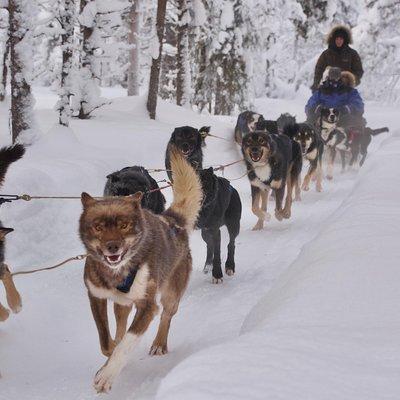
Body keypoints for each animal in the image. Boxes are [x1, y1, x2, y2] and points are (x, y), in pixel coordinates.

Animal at [80, 147, 203, 394]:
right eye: (98, 227)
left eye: (124, 225)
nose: (113, 247)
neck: (117, 272)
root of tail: (171, 220)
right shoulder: (96, 296)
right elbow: (106, 340)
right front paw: (108, 358)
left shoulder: (147, 306)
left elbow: (126, 344)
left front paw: (107, 374)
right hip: (122, 304)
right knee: (120, 325)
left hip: (171, 293)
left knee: (166, 315)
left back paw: (158, 344)